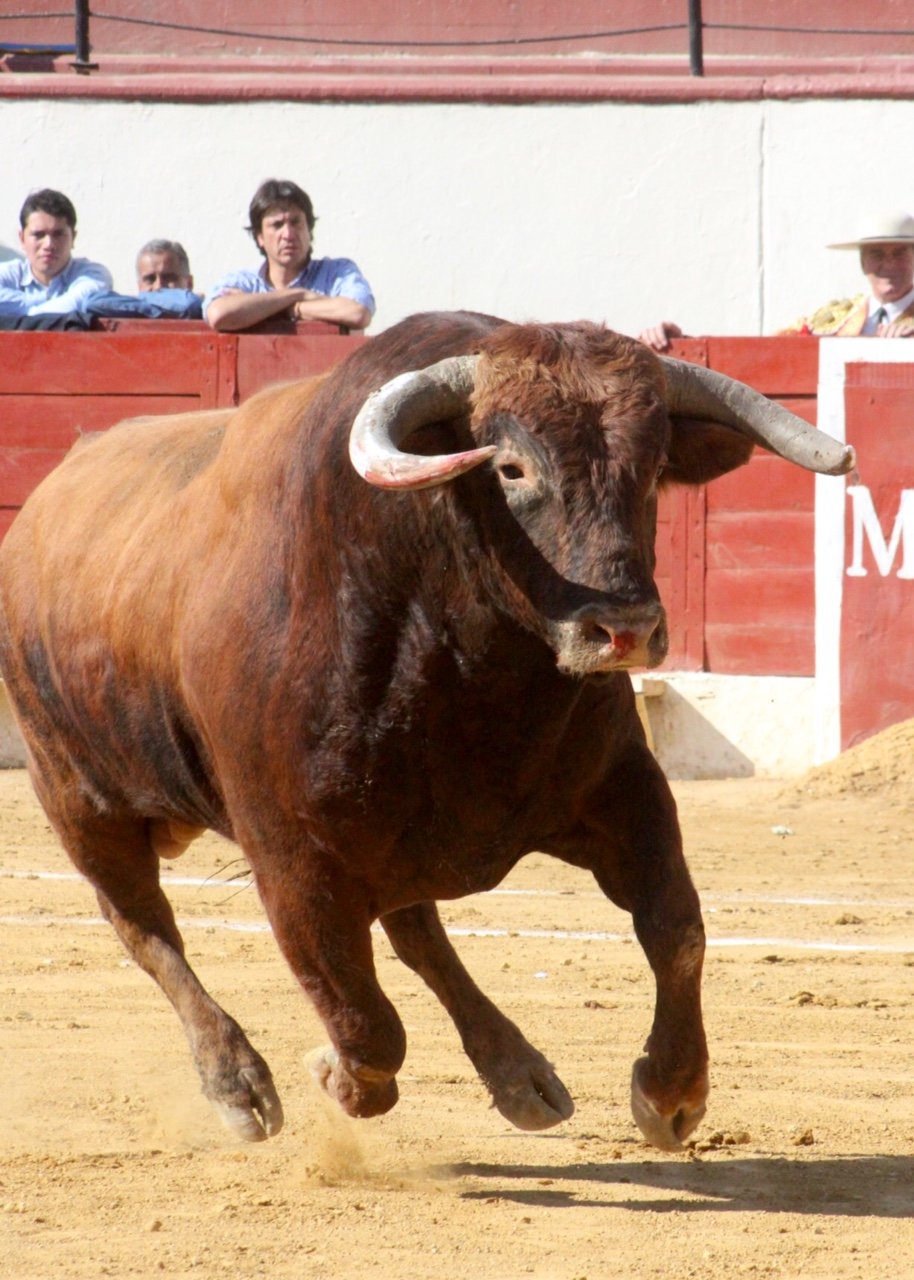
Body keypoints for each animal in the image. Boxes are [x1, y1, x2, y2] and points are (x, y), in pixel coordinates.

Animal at [0, 311, 853, 1152]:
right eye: (510, 468)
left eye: (650, 471)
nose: (626, 629)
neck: (470, 669)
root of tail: (45, 502)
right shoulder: (291, 856)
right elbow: (363, 1020)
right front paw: (331, 1076)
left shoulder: (623, 791)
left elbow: (675, 926)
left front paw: (671, 1095)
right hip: (78, 800)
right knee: (145, 926)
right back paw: (239, 1086)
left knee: (413, 931)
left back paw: (521, 1076)